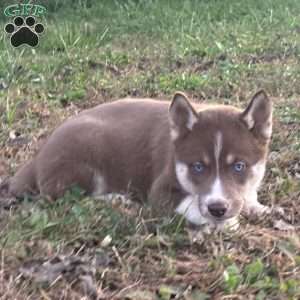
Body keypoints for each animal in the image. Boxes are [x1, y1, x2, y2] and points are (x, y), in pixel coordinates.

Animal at [4, 91, 272, 227]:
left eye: (239, 166)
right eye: (197, 166)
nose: (218, 209)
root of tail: (37, 157)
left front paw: (256, 207)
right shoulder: (160, 190)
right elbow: (189, 203)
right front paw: (224, 221)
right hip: (84, 154)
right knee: (65, 198)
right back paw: (116, 199)